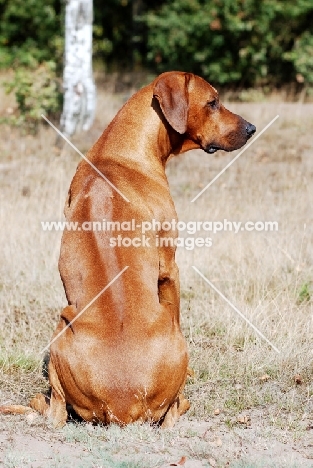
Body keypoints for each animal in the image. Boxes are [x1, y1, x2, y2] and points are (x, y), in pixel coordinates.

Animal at [0, 71, 255, 426]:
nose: (252, 129)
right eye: (213, 102)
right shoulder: (170, 267)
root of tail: (123, 405)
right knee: (61, 413)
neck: (122, 151)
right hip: (71, 325)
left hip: (64, 324)